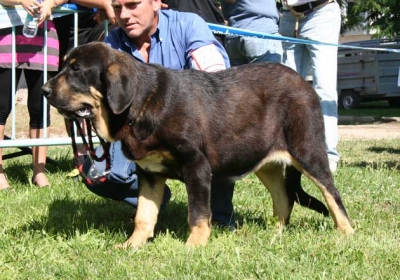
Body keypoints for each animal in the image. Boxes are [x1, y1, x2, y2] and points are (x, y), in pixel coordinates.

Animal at [42, 41, 354, 247]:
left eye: (77, 70)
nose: (44, 90)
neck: (142, 105)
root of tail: (303, 82)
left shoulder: (197, 166)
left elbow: (198, 213)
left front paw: (194, 247)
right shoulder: (149, 173)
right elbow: (144, 215)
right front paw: (132, 245)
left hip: (308, 151)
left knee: (332, 195)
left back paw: (346, 234)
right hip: (265, 163)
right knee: (283, 198)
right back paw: (274, 235)